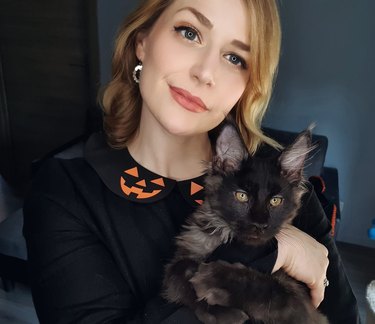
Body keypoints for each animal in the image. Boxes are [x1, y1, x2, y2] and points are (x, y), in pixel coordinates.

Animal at [163, 122, 330, 324]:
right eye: (241, 196)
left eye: (276, 201)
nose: (260, 224)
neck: (226, 237)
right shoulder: (182, 256)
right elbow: (182, 273)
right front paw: (219, 313)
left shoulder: (304, 309)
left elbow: (267, 288)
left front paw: (212, 279)